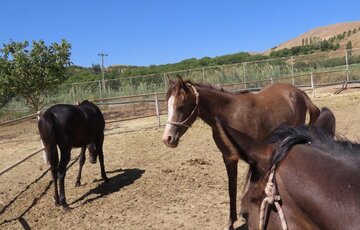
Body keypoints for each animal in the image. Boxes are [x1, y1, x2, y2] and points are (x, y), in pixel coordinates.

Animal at [162, 76, 320, 229]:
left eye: (180, 106)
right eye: (167, 106)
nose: (167, 139)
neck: (231, 114)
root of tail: (298, 92)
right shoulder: (229, 157)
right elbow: (232, 189)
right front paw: (231, 222)